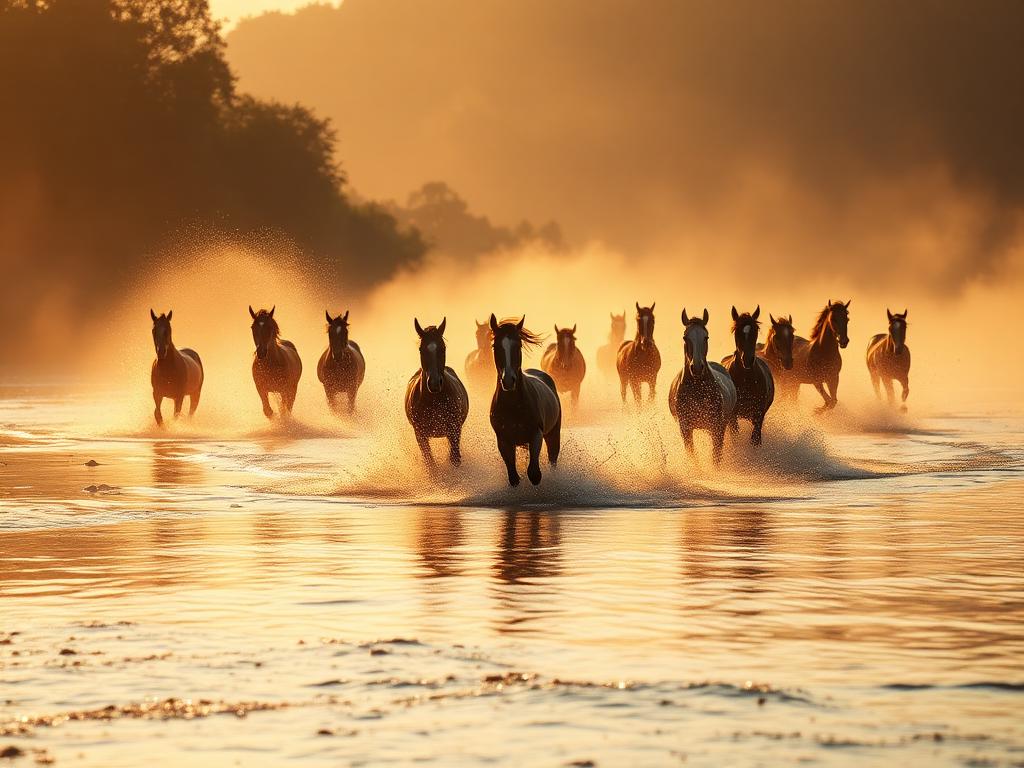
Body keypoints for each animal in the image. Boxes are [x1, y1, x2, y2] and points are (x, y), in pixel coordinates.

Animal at [405, 318, 470, 468]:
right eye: (421, 349)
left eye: (443, 348)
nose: (434, 383)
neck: (434, 401)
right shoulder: (420, 435)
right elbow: (430, 463)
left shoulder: (454, 430)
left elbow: (454, 458)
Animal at [489, 315, 561, 487]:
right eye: (495, 346)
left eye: (518, 345)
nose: (508, 380)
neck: (513, 406)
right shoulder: (503, 439)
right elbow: (513, 476)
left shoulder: (536, 434)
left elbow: (534, 474)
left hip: (553, 434)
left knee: (553, 458)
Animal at [668, 308, 737, 464]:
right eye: (685, 337)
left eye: (706, 337)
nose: (697, 368)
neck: (697, 390)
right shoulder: (685, 429)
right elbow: (692, 455)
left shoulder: (717, 427)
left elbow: (715, 458)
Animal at [721, 306, 775, 445]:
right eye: (737, 331)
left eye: (755, 330)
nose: (747, 360)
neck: (746, 379)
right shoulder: (733, 416)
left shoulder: (759, 415)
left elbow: (755, 439)